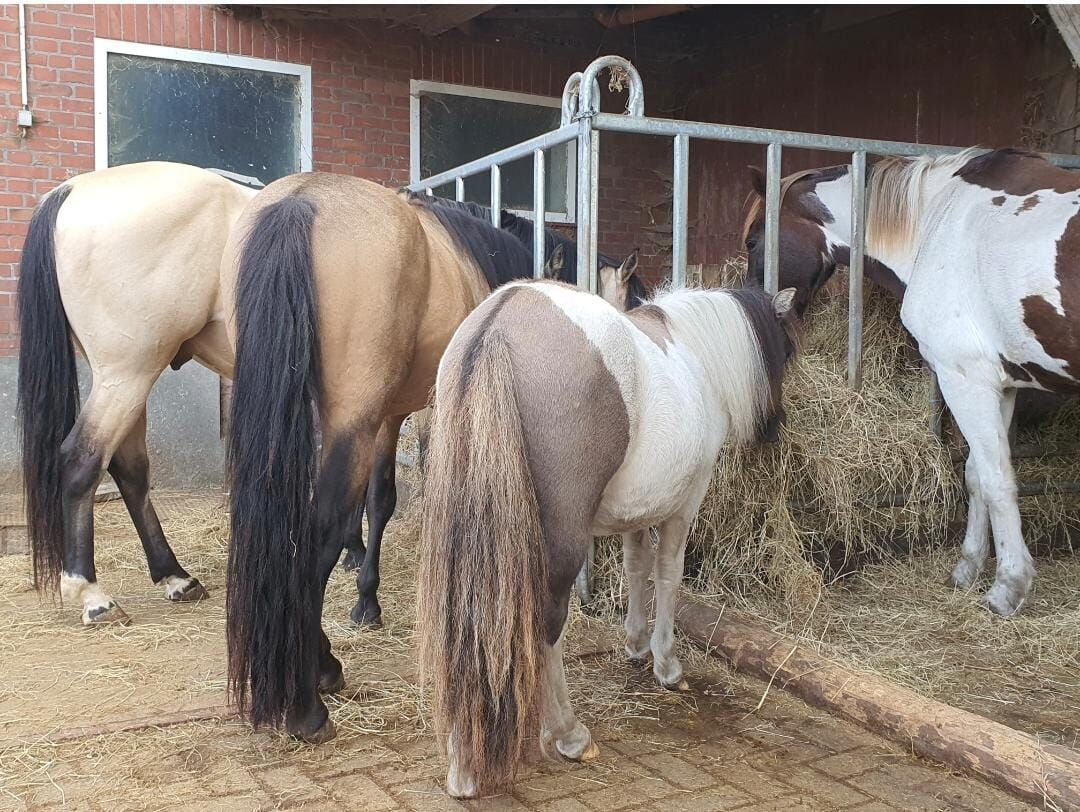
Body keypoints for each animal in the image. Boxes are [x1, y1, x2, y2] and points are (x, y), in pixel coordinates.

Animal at [220, 172, 646, 743]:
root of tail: (299, 202)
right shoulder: (428, 410)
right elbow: (407, 496)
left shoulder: (387, 417)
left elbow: (378, 501)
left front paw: (365, 602)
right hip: (349, 421)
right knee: (318, 538)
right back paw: (308, 703)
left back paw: (322, 666)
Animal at [418, 279, 796, 797]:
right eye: (787, 350)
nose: (776, 428)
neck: (694, 354)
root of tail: (501, 324)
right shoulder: (684, 505)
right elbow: (668, 575)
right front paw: (666, 663)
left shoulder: (638, 510)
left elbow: (636, 568)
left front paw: (636, 644)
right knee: (547, 624)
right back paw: (568, 735)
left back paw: (462, 766)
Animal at [742, 147, 1080, 615]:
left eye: (753, 241)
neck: (939, 219)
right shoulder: (1000, 384)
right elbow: (976, 474)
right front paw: (965, 571)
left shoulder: (964, 378)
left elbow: (997, 479)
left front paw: (1007, 589)